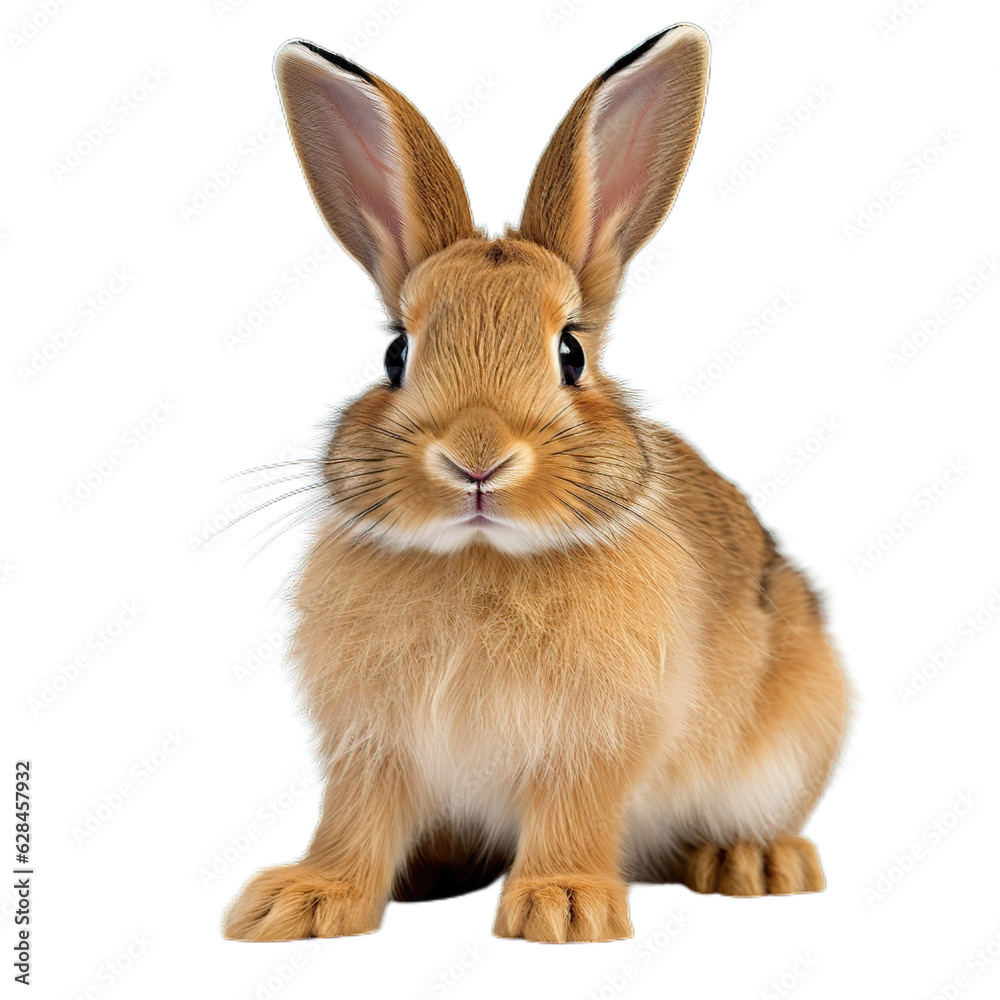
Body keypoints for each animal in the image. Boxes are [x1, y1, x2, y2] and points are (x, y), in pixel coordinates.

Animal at [223, 23, 849, 944]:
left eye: (571, 353)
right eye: (396, 354)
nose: (476, 457)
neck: (482, 558)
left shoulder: (594, 738)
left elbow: (572, 811)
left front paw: (562, 906)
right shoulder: (373, 743)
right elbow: (355, 819)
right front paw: (299, 902)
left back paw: (755, 861)